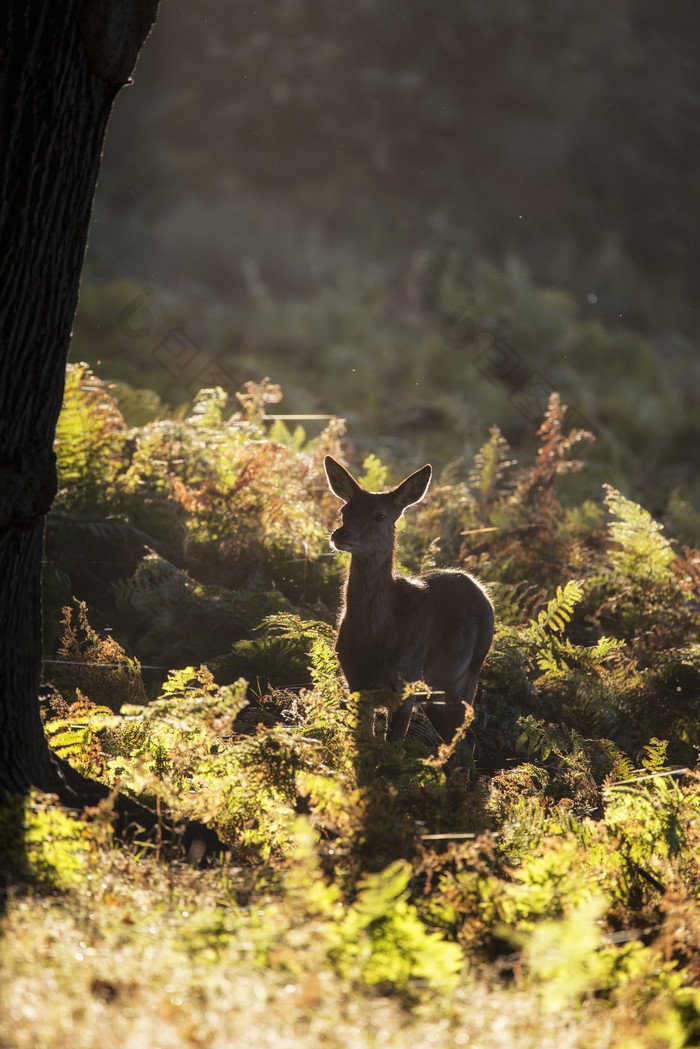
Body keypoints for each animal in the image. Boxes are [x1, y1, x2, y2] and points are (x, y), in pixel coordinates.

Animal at [325, 455, 495, 759]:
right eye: (344, 509)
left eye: (380, 515)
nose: (340, 534)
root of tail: (478, 586)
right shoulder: (355, 683)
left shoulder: (405, 685)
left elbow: (392, 750)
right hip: (436, 693)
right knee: (465, 739)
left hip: (467, 676)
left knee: (466, 738)